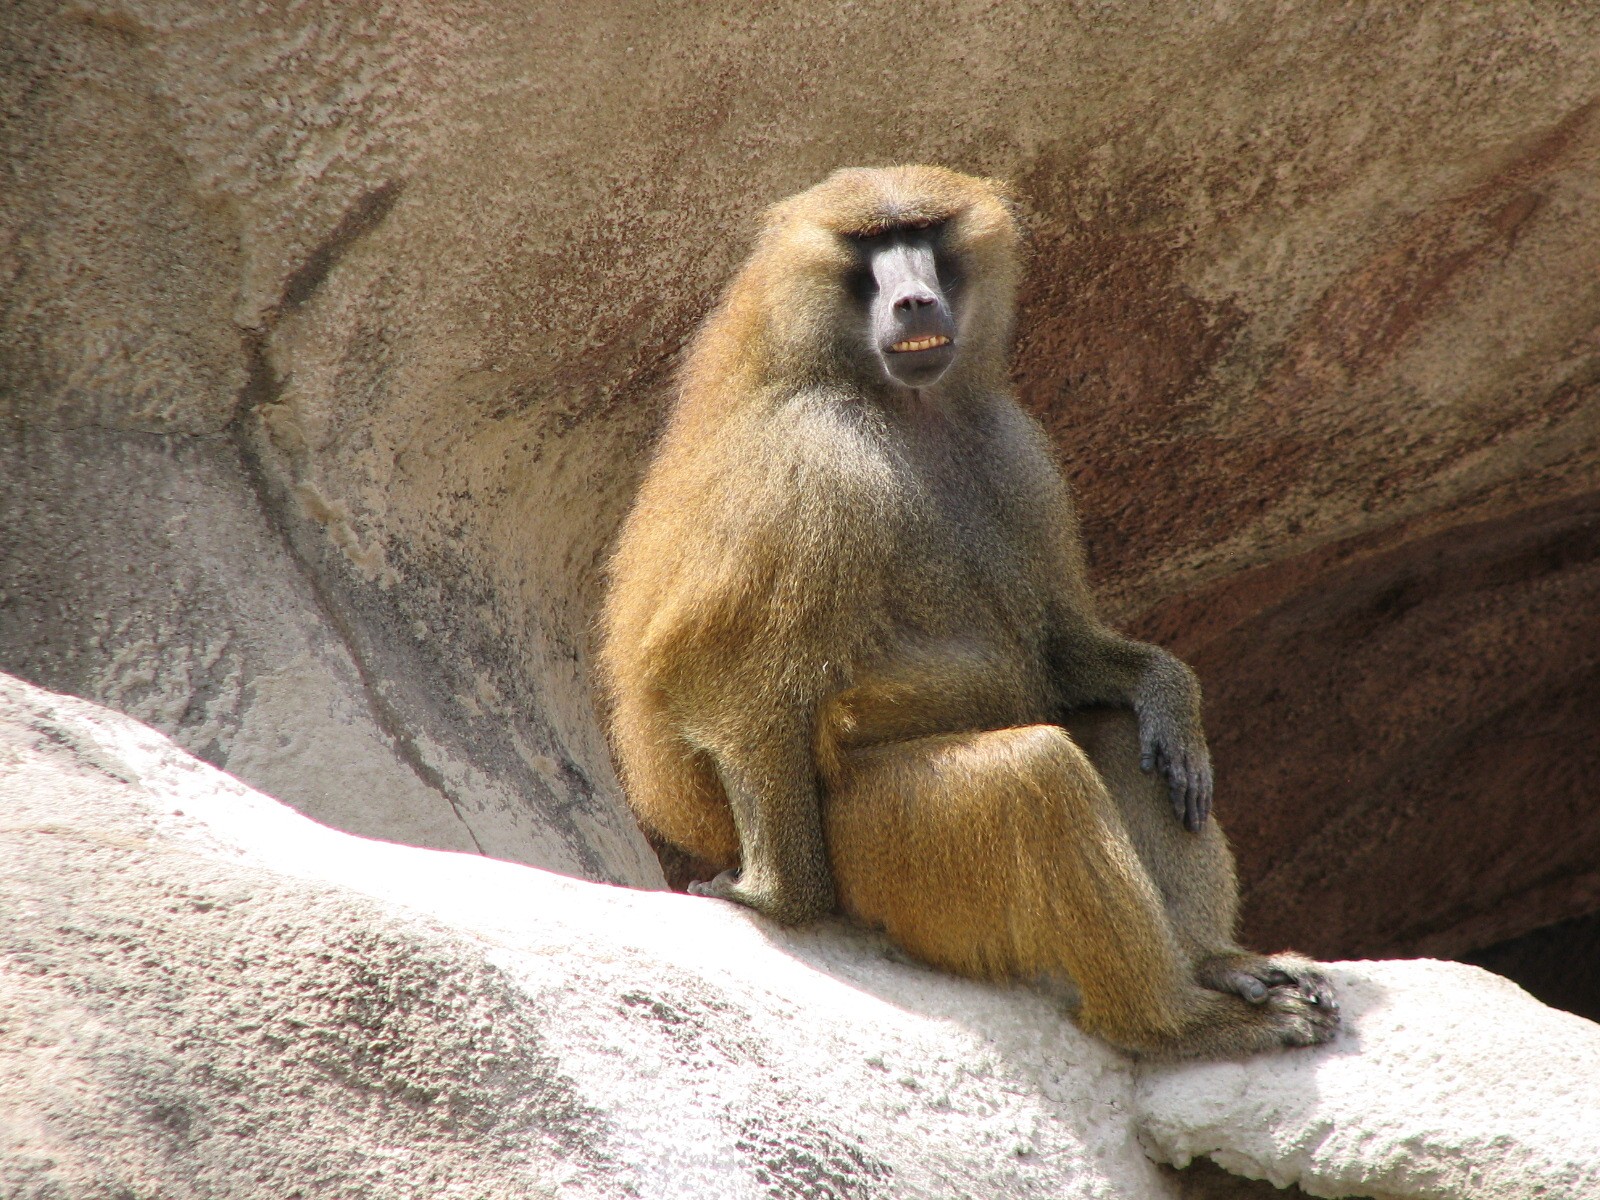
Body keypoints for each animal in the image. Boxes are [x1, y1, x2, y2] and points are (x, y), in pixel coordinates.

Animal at [597, 165, 1338, 1059]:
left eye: (923, 233)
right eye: (872, 245)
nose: (915, 301)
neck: (894, 401)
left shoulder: (1012, 444)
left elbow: (1058, 650)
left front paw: (1168, 693)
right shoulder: (815, 461)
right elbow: (723, 674)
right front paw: (776, 898)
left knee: (1120, 735)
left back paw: (1213, 963)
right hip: (875, 845)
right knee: (1034, 777)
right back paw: (1173, 1021)